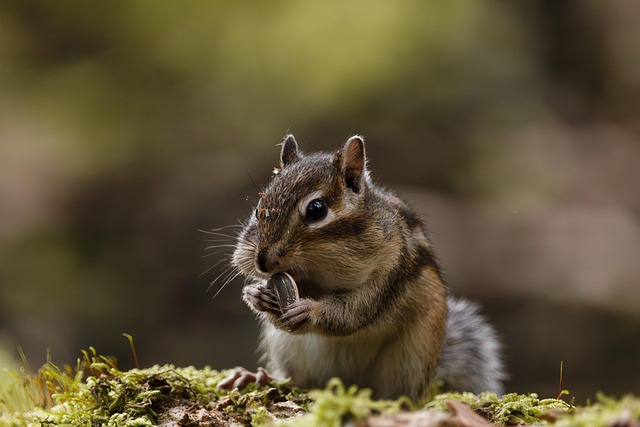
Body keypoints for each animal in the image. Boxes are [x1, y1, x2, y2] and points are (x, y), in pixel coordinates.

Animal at [225, 135, 505, 401]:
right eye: (259, 209)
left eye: (316, 209)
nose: (262, 261)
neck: (318, 268)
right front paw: (256, 295)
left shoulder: (391, 268)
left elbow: (353, 313)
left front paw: (309, 310)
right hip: (286, 348)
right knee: (298, 380)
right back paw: (258, 377)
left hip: (412, 356)